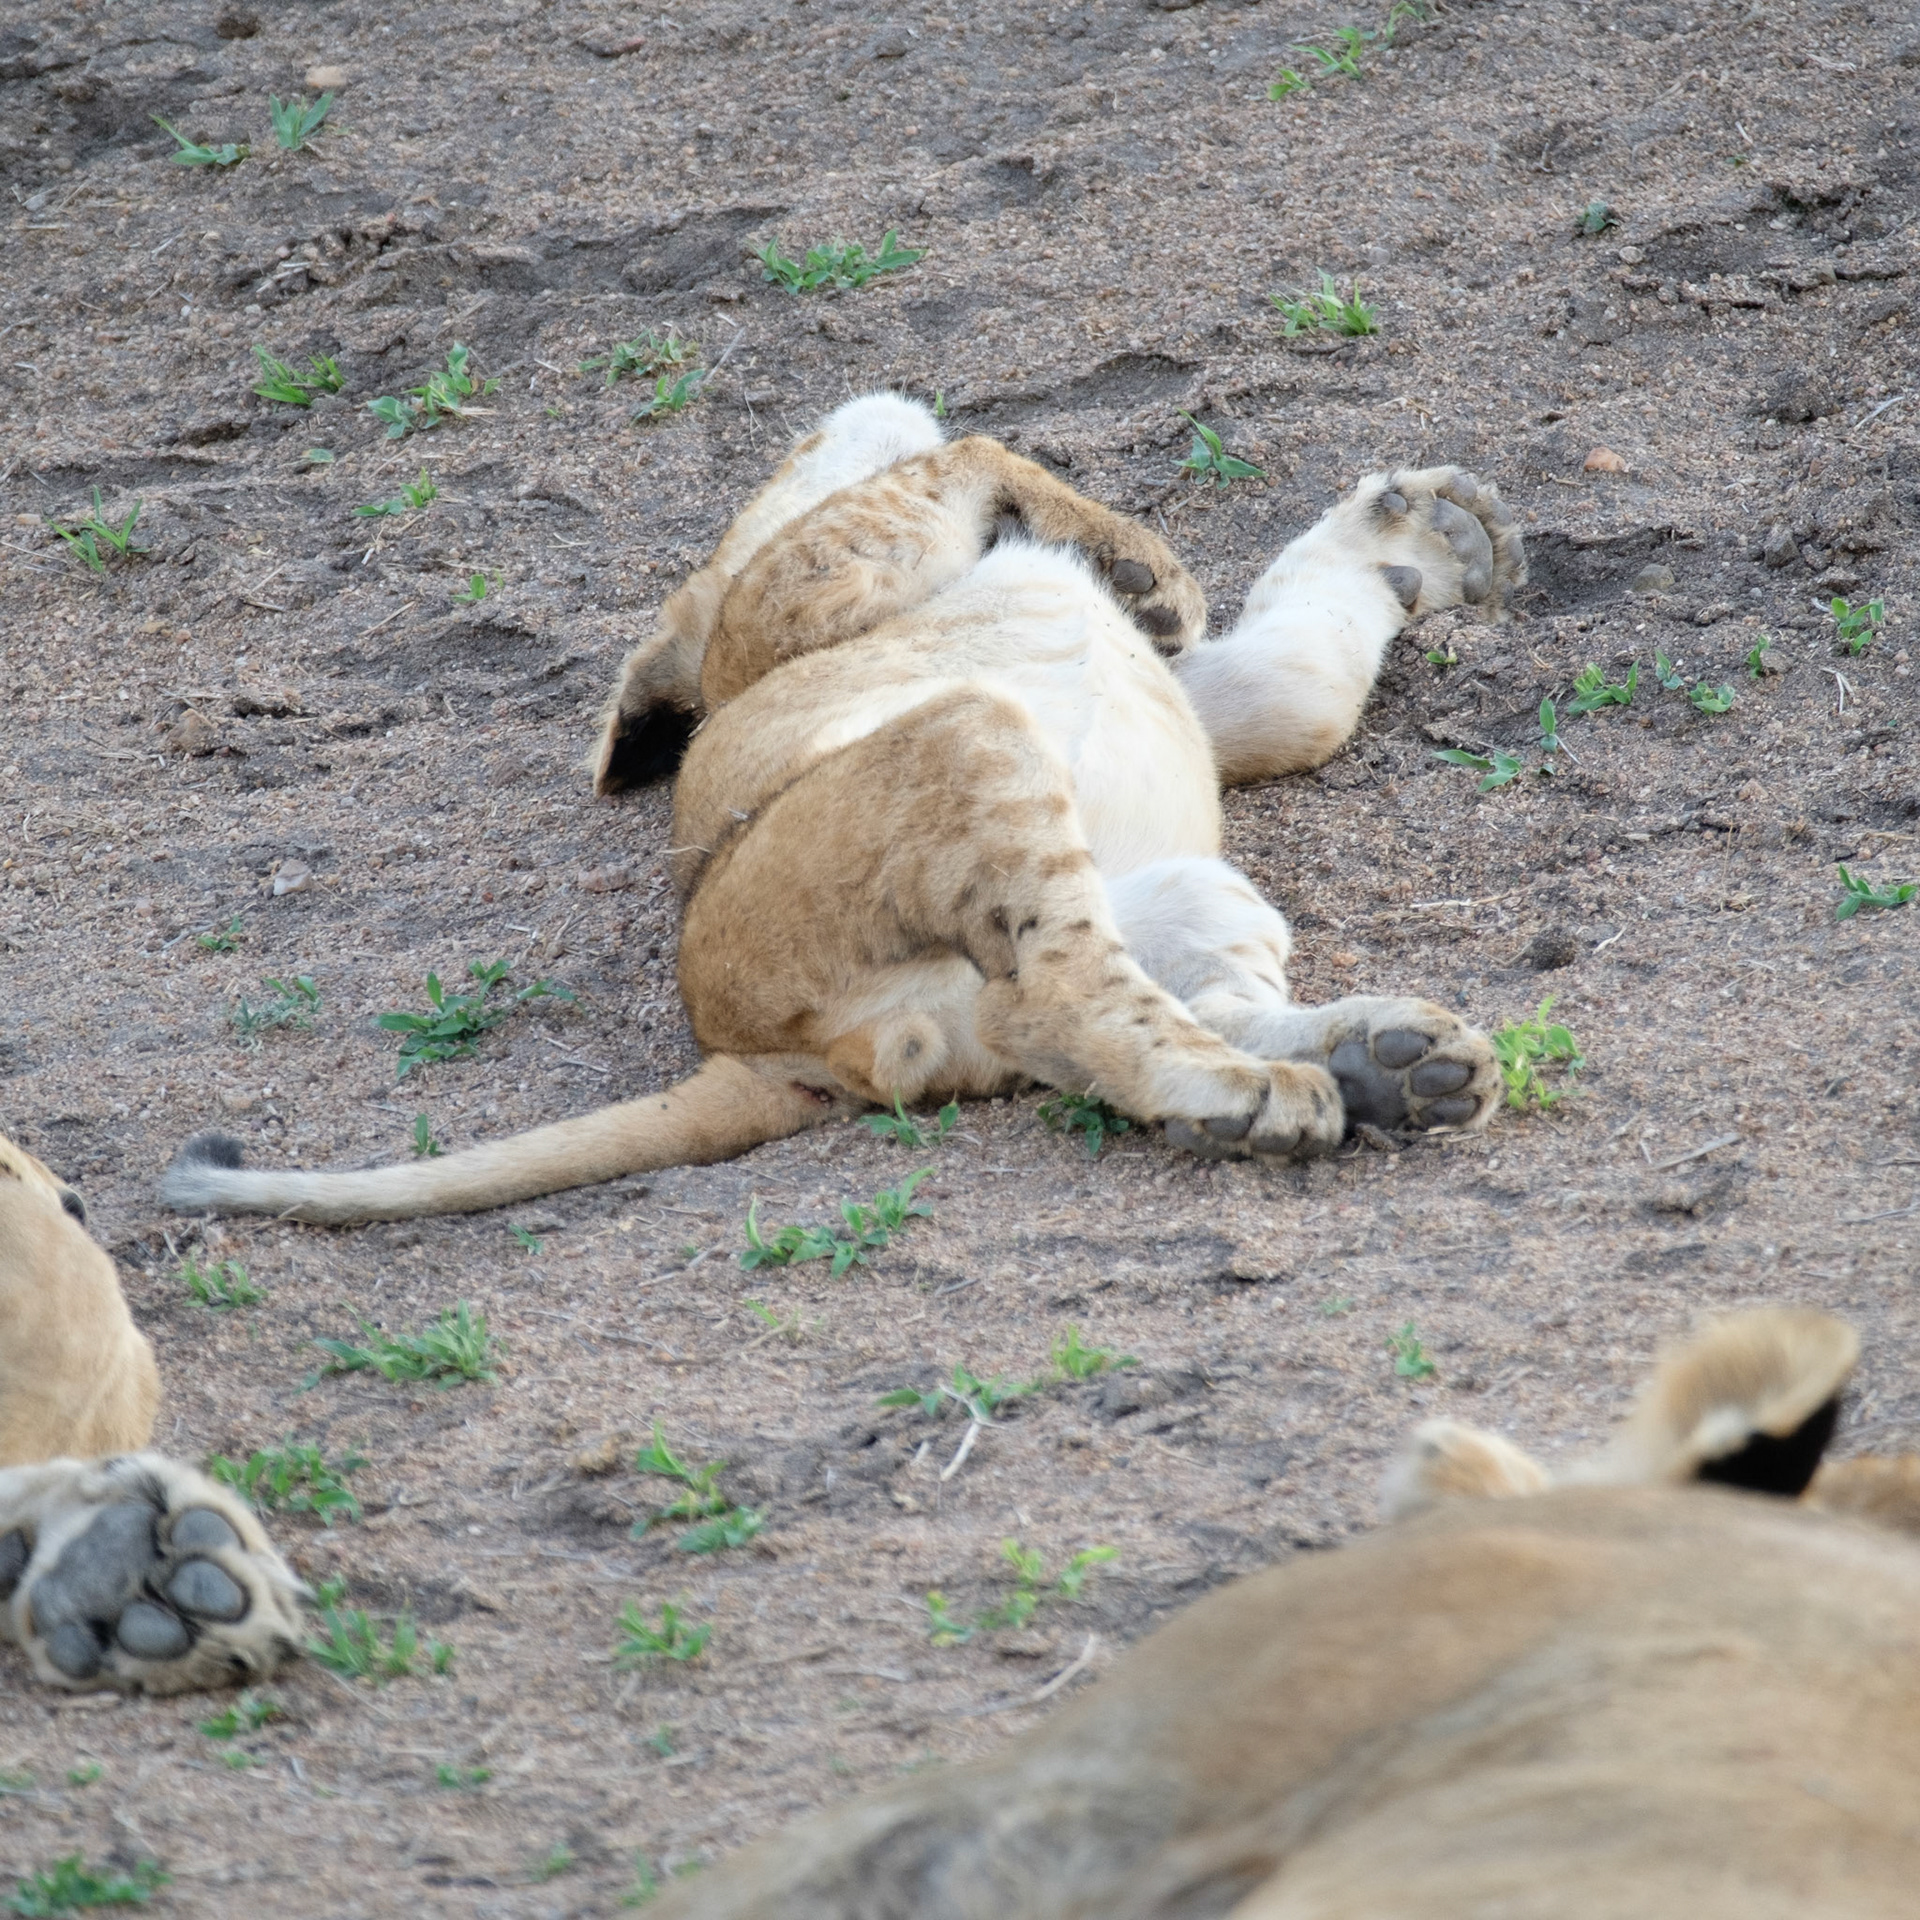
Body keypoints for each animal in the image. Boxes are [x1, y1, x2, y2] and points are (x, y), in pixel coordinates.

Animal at [161, 393, 1526, 1225]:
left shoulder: (1195, 697)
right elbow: (967, 453)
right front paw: (1145, 561)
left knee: (1124, 998)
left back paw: (1386, 1066)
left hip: (1179, 883)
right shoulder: (801, 595)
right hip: (969, 733)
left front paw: (1420, 535)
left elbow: (1299, 686)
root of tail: (752, 1052)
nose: (820, 425)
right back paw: (1271, 1091)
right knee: (1058, 998)